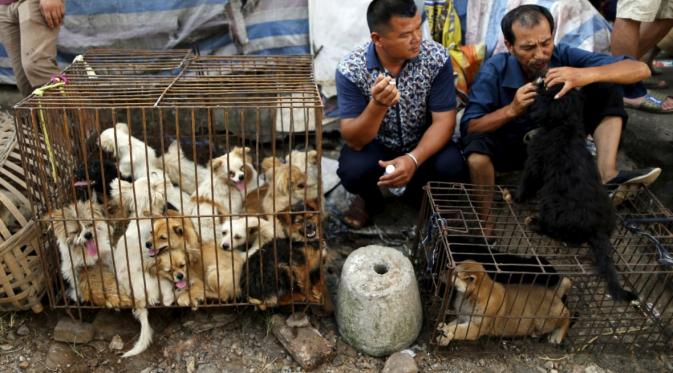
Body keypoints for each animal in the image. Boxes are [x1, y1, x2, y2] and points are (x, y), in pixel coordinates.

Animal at [436, 260, 572, 344]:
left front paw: (447, 331)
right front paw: (444, 335)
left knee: (567, 315)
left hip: (545, 320)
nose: (439, 272)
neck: (469, 297)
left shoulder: (476, 327)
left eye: (454, 273)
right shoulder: (463, 317)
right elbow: (454, 324)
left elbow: (458, 330)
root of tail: (554, 293)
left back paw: (557, 336)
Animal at [516, 83, 636, 302]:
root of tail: (598, 229)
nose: (539, 80)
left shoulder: (535, 160)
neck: (565, 125)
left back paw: (535, 223)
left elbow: (527, 181)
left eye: (547, 89)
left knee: (554, 231)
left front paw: (516, 197)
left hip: (551, 205)